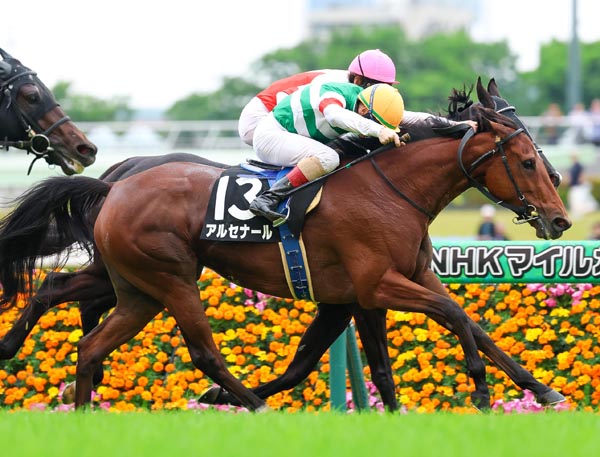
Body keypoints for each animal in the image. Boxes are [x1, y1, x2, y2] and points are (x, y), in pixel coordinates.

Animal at [0, 78, 566, 411]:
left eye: (541, 153)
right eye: (528, 160)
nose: (558, 218)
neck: (390, 189)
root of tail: (114, 187)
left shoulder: (378, 288)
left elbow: (458, 330)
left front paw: (540, 387)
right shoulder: (377, 285)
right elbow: (450, 317)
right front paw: (481, 388)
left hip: (135, 286)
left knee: (74, 317)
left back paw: (69, 396)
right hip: (171, 279)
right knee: (202, 351)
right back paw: (249, 403)